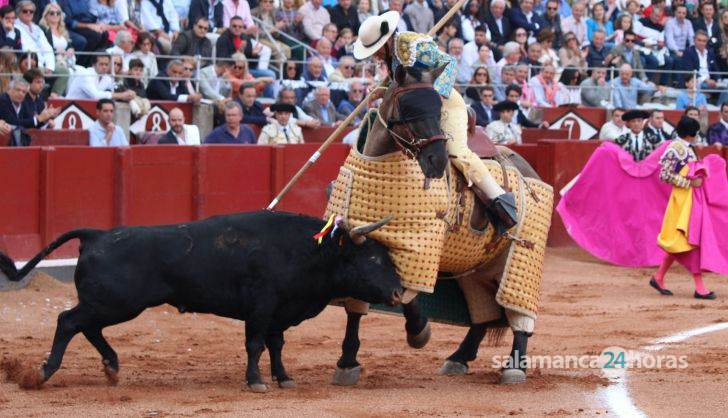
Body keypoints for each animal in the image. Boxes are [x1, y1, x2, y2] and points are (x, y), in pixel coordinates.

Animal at [0, 212, 404, 392]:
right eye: (372, 259)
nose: (399, 292)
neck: (307, 251)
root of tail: (97, 234)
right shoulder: (261, 307)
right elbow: (256, 344)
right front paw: (256, 381)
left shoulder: (279, 312)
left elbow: (276, 345)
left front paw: (284, 378)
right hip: (116, 302)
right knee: (68, 321)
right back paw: (42, 373)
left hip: (112, 304)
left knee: (87, 327)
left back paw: (112, 367)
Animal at [324, 64, 552, 386]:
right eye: (406, 108)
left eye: (438, 108)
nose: (436, 160)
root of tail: (530, 169)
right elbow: (358, 303)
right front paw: (347, 362)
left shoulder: (419, 249)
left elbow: (405, 290)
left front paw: (419, 331)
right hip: (474, 268)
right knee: (483, 312)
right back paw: (459, 357)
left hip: (518, 261)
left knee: (518, 314)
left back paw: (514, 367)